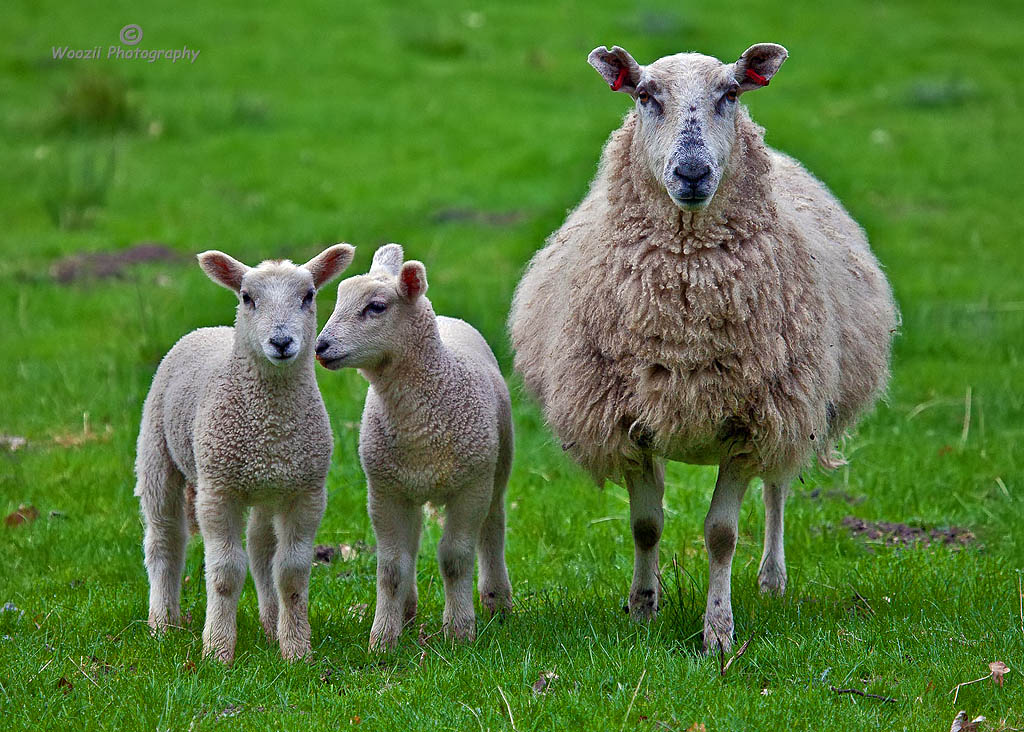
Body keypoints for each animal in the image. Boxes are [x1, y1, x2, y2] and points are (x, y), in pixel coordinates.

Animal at [135, 243, 356, 663]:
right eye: (247, 298)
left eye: (309, 296)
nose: (282, 342)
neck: (269, 426)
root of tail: (209, 329)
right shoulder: (218, 490)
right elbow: (225, 573)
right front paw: (218, 650)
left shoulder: (306, 491)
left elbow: (291, 572)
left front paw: (297, 650)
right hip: (156, 452)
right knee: (164, 539)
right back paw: (162, 624)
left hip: (268, 487)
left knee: (260, 550)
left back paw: (271, 626)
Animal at [315, 243, 516, 651]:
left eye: (376, 307)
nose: (320, 347)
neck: (419, 425)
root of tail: (450, 319)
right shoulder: (384, 491)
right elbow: (392, 566)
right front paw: (382, 639)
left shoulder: (470, 487)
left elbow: (455, 558)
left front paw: (459, 632)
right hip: (408, 484)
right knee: (411, 541)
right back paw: (407, 610)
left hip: (496, 468)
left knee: (493, 526)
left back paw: (496, 601)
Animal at [509, 42, 897, 651]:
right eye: (645, 95)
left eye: (730, 93)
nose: (692, 171)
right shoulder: (629, 421)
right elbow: (646, 525)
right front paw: (642, 610)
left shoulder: (751, 422)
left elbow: (721, 534)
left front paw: (718, 630)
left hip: (796, 408)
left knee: (777, 488)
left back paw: (772, 579)